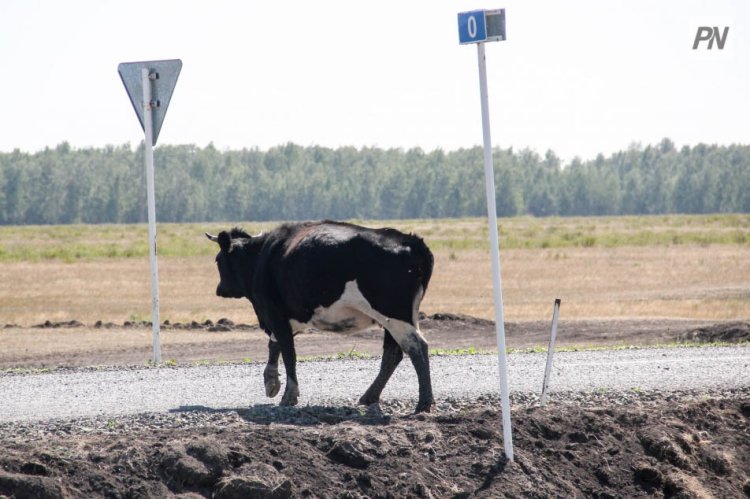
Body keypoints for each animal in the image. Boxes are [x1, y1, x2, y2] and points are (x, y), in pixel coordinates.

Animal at [209, 220, 438, 414]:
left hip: (394, 315)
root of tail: (411, 241)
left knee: (417, 347)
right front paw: (271, 382)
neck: (261, 257)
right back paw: (370, 396)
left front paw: (289, 395)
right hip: (393, 319)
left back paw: (423, 403)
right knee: (393, 353)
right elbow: (275, 345)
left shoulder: (274, 311)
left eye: (218, 260)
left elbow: (288, 351)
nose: (219, 289)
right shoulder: (292, 315)